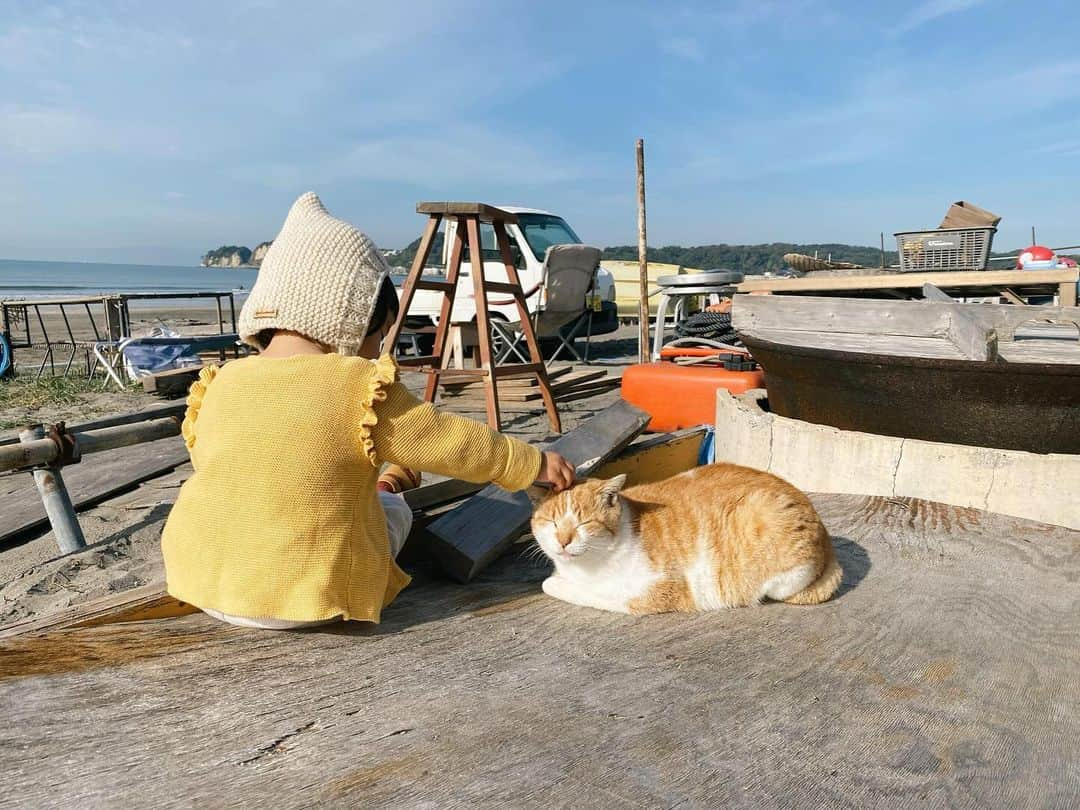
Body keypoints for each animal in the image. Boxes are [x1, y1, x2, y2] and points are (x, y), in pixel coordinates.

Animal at [531, 462, 842, 613]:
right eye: (552, 522)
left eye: (584, 522)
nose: (564, 541)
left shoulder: (648, 593)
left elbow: (556, 586)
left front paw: (560, 583)